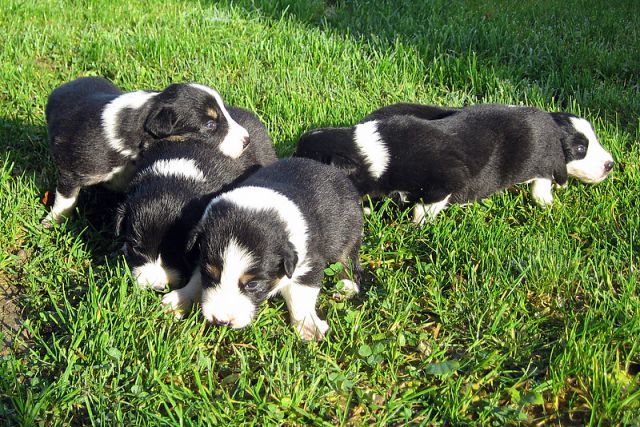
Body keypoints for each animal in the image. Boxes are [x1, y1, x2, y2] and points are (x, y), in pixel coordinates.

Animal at [162, 157, 362, 342]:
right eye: (211, 274)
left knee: (348, 258)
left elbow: (301, 295)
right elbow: (197, 279)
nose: (221, 321)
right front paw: (179, 300)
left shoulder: (309, 262)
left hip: (349, 229)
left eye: (252, 284)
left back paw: (347, 285)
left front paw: (308, 326)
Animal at [296, 103, 616, 224]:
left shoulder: (449, 176)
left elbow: (426, 206)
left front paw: (417, 225)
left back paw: (544, 199)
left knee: (543, 177)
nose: (610, 164)